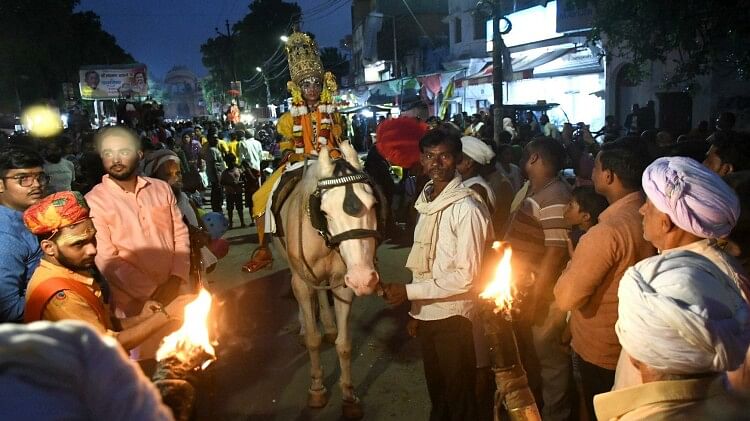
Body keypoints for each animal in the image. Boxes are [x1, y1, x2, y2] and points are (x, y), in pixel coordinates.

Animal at [274, 141, 382, 416]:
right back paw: (305, 325)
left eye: (373, 205)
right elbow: (313, 340)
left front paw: (349, 396)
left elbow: (344, 345)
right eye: (324, 211)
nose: (364, 278)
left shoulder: (343, 283)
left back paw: (330, 325)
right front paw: (317, 388)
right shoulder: (302, 281)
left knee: (322, 291)